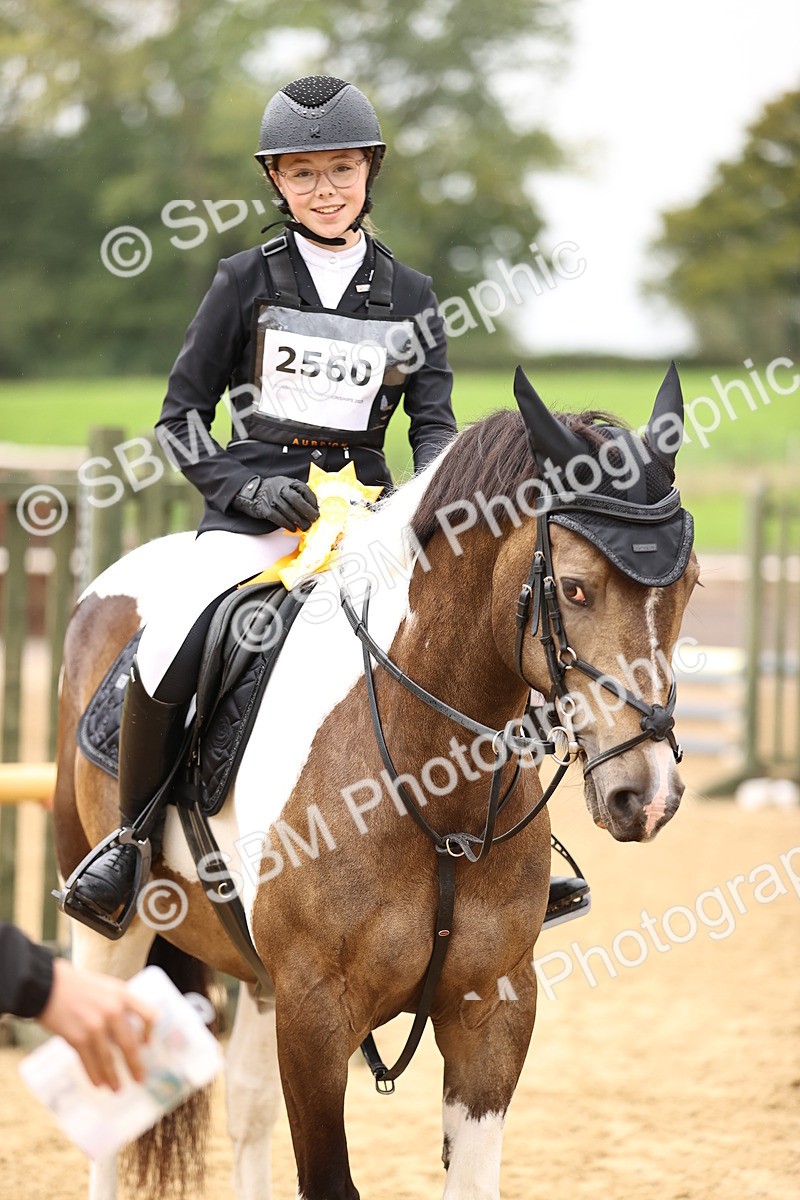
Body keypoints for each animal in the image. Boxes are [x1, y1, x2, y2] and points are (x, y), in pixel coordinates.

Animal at [52, 366, 699, 1200]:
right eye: (578, 589)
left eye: (690, 585)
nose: (646, 796)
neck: (432, 786)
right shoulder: (315, 1015)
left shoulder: (493, 1008)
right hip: (115, 932)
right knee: (111, 1101)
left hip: (259, 978)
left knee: (246, 1112)